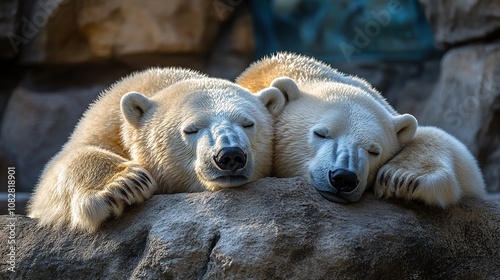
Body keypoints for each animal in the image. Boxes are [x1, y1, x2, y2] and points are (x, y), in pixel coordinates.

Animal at [28, 66, 286, 231]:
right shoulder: (104, 124)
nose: (229, 155)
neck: (160, 83)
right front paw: (125, 184)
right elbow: (56, 172)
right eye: (191, 129)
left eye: (248, 123)